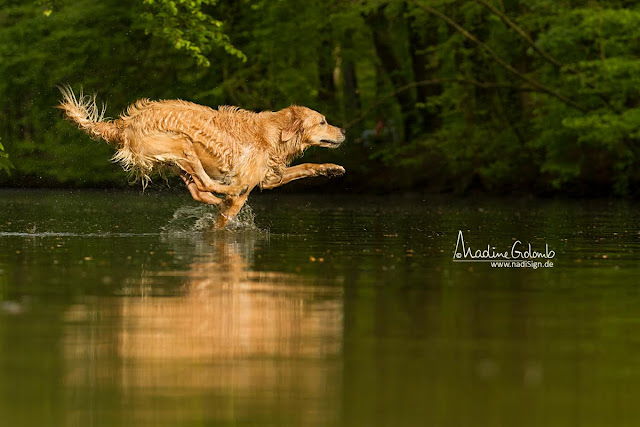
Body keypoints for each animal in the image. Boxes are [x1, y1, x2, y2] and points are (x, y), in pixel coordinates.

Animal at [58, 86, 348, 227]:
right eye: (322, 122)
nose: (344, 131)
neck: (274, 133)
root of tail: (124, 125)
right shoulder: (251, 178)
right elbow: (223, 222)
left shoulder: (267, 177)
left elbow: (306, 165)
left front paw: (332, 168)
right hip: (183, 144)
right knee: (208, 184)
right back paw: (225, 192)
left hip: (177, 161)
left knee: (198, 189)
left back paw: (216, 198)